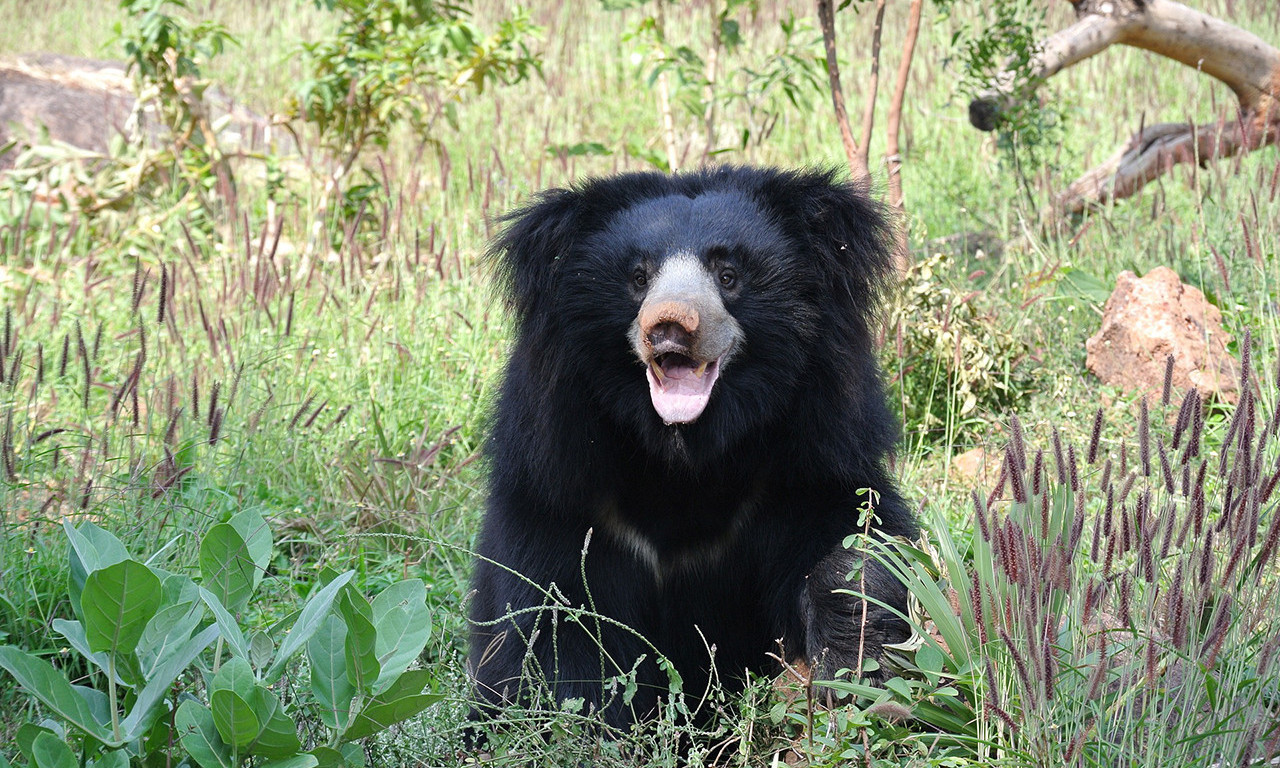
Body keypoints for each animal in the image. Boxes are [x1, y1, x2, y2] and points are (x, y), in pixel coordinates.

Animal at [465, 165, 916, 727]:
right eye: (639, 277)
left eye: (728, 275)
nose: (670, 325)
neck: (684, 454)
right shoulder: (558, 483)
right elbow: (551, 619)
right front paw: (581, 720)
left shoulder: (809, 453)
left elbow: (852, 535)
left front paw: (853, 659)